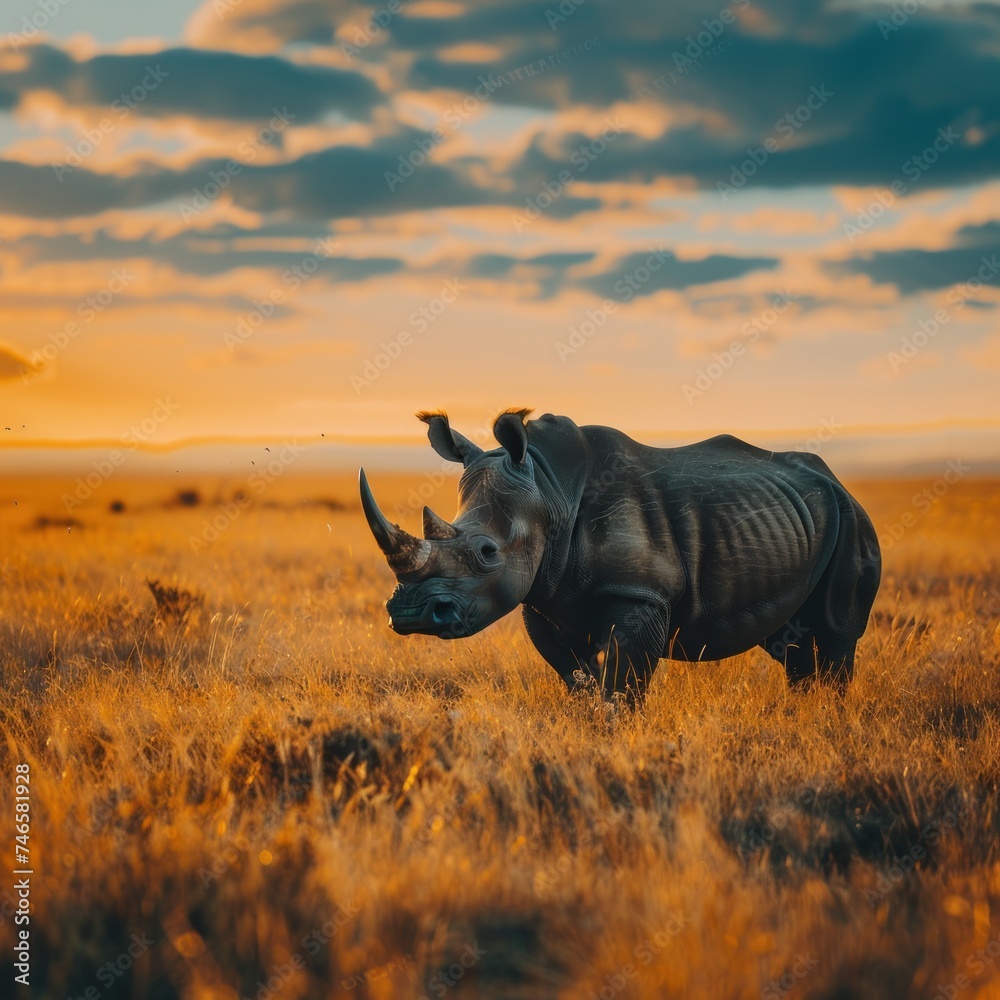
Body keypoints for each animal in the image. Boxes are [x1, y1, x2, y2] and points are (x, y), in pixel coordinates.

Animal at [359, 408, 881, 700]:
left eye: (487, 552)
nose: (410, 614)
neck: (550, 490)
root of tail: (835, 478)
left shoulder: (640, 592)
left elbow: (623, 680)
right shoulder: (543, 596)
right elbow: (578, 677)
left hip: (852, 515)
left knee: (836, 632)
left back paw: (827, 715)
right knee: (789, 640)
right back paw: (804, 711)